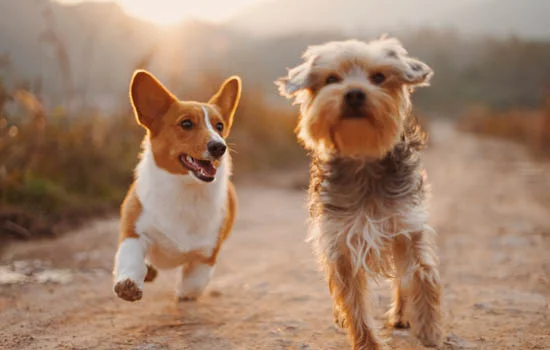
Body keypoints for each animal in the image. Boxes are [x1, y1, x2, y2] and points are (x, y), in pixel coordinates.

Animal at [112, 69, 242, 302]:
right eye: (186, 124)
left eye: (219, 126)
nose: (219, 147)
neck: (185, 189)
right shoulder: (134, 231)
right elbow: (131, 258)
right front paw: (128, 284)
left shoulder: (206, 255)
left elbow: (193, 284)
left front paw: (183, 293)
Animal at [276, 37, 444, 348]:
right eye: (331, 79)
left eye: (378, 77)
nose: (354, 93)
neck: (363, 158)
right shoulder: (340, 240)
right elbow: (352, 299)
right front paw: (367, 342)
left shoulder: (407, 225)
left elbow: (421, 273)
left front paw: (430, 329)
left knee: (401, 278)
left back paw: (402, 314)